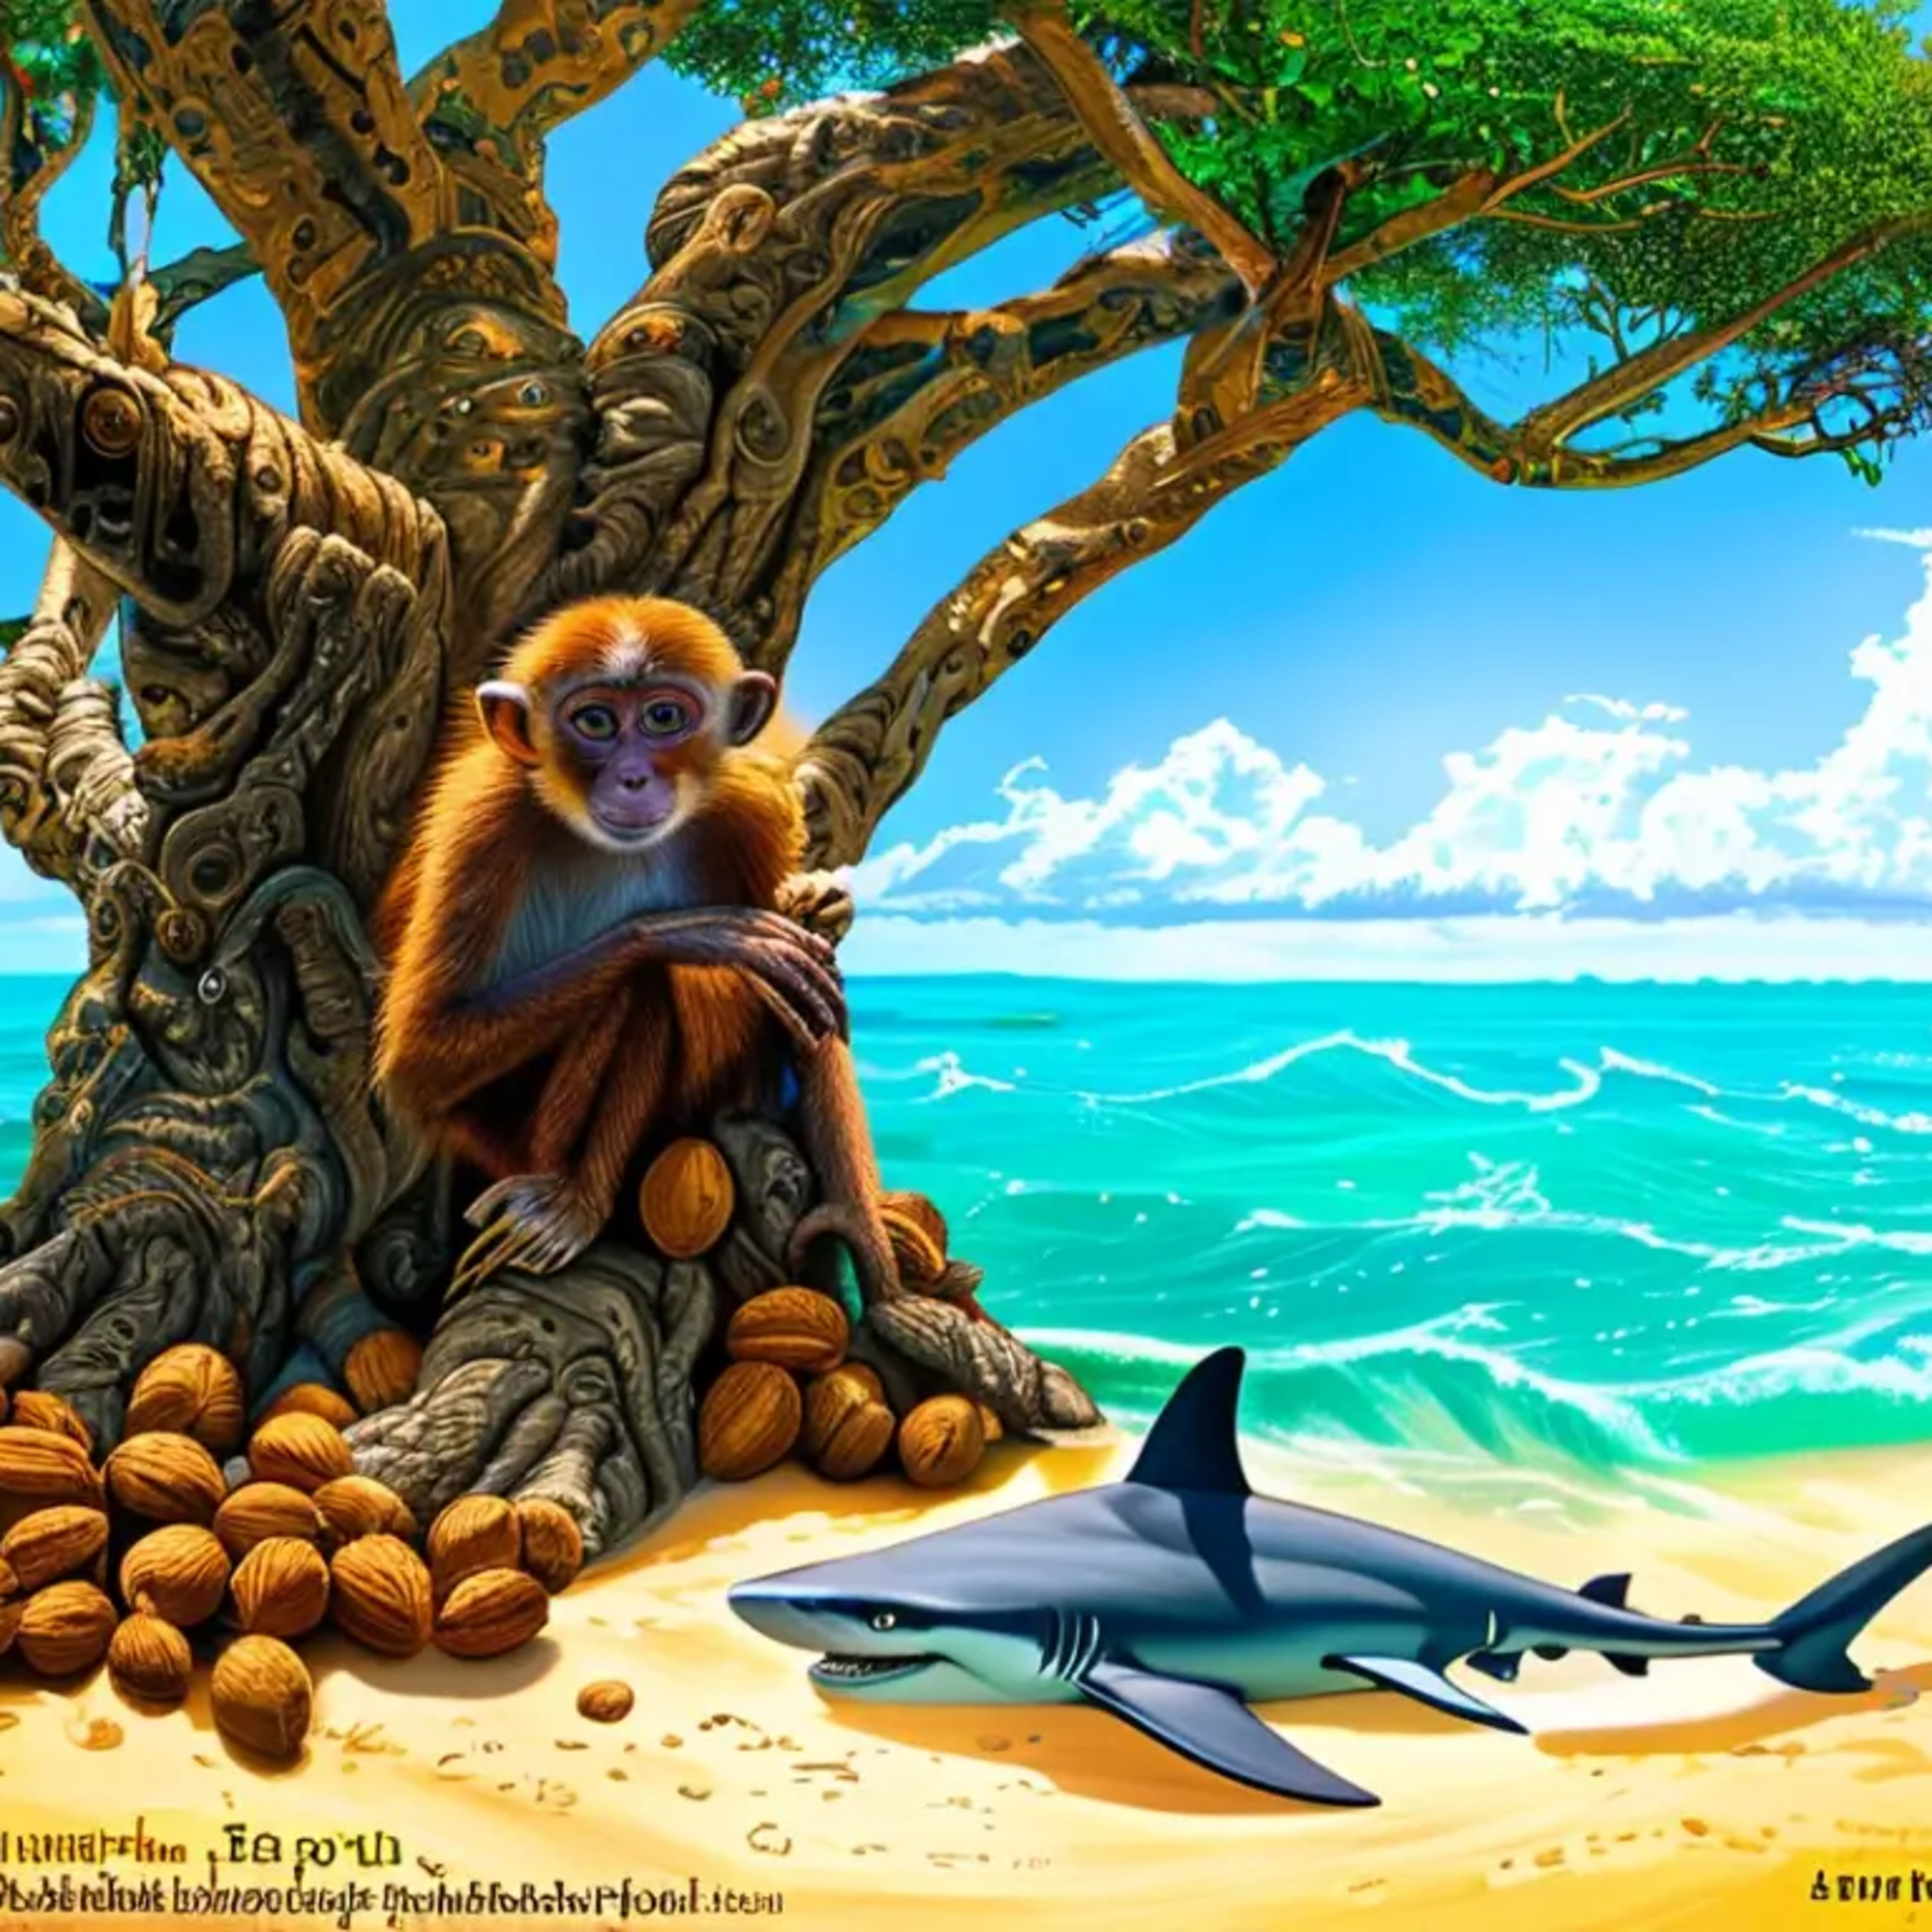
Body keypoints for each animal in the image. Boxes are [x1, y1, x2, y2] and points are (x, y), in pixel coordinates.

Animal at [371, 594, 902, 1304]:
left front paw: (861, 1233)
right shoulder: (479, 827)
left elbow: (806, 1002)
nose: (631, 778)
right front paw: (695, 933)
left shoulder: (750, 812)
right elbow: (419, 1057)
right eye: (595, 721)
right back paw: (575, 1206)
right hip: (509, 1143)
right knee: (638, 982)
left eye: (664, 717)